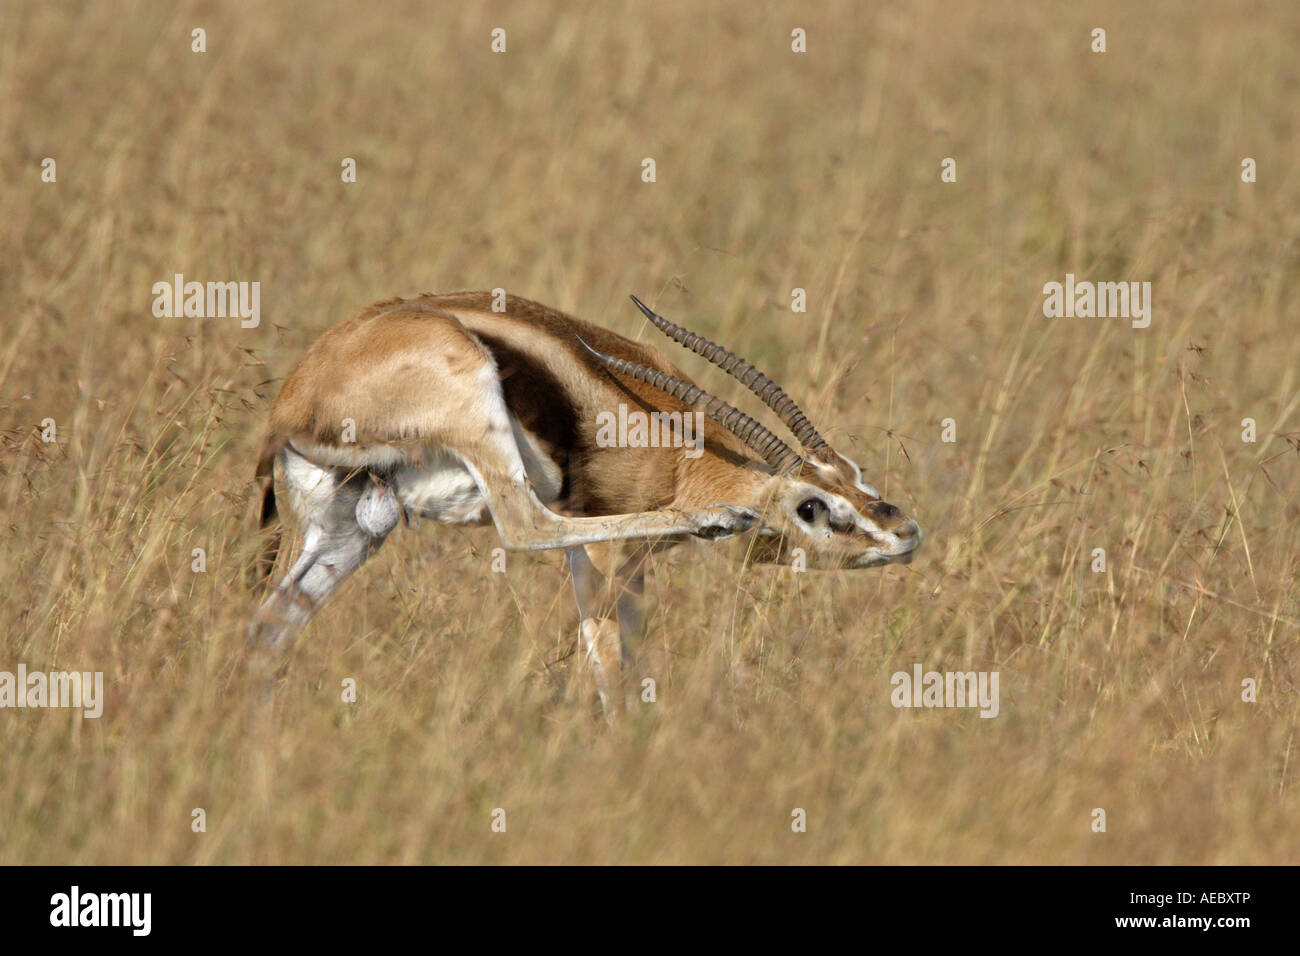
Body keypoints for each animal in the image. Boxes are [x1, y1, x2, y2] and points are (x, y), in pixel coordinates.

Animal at [248, 292, 921, 709]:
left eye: (855, 473)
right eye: (811, 506)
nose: (905, 533)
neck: (672, 447)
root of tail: (294, 399)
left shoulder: (632, 564)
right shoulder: (600, 548)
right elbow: (610, 666)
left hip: (355, 526)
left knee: (270, 622)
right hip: (475, 416)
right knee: (523, 524)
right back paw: (716, 520)